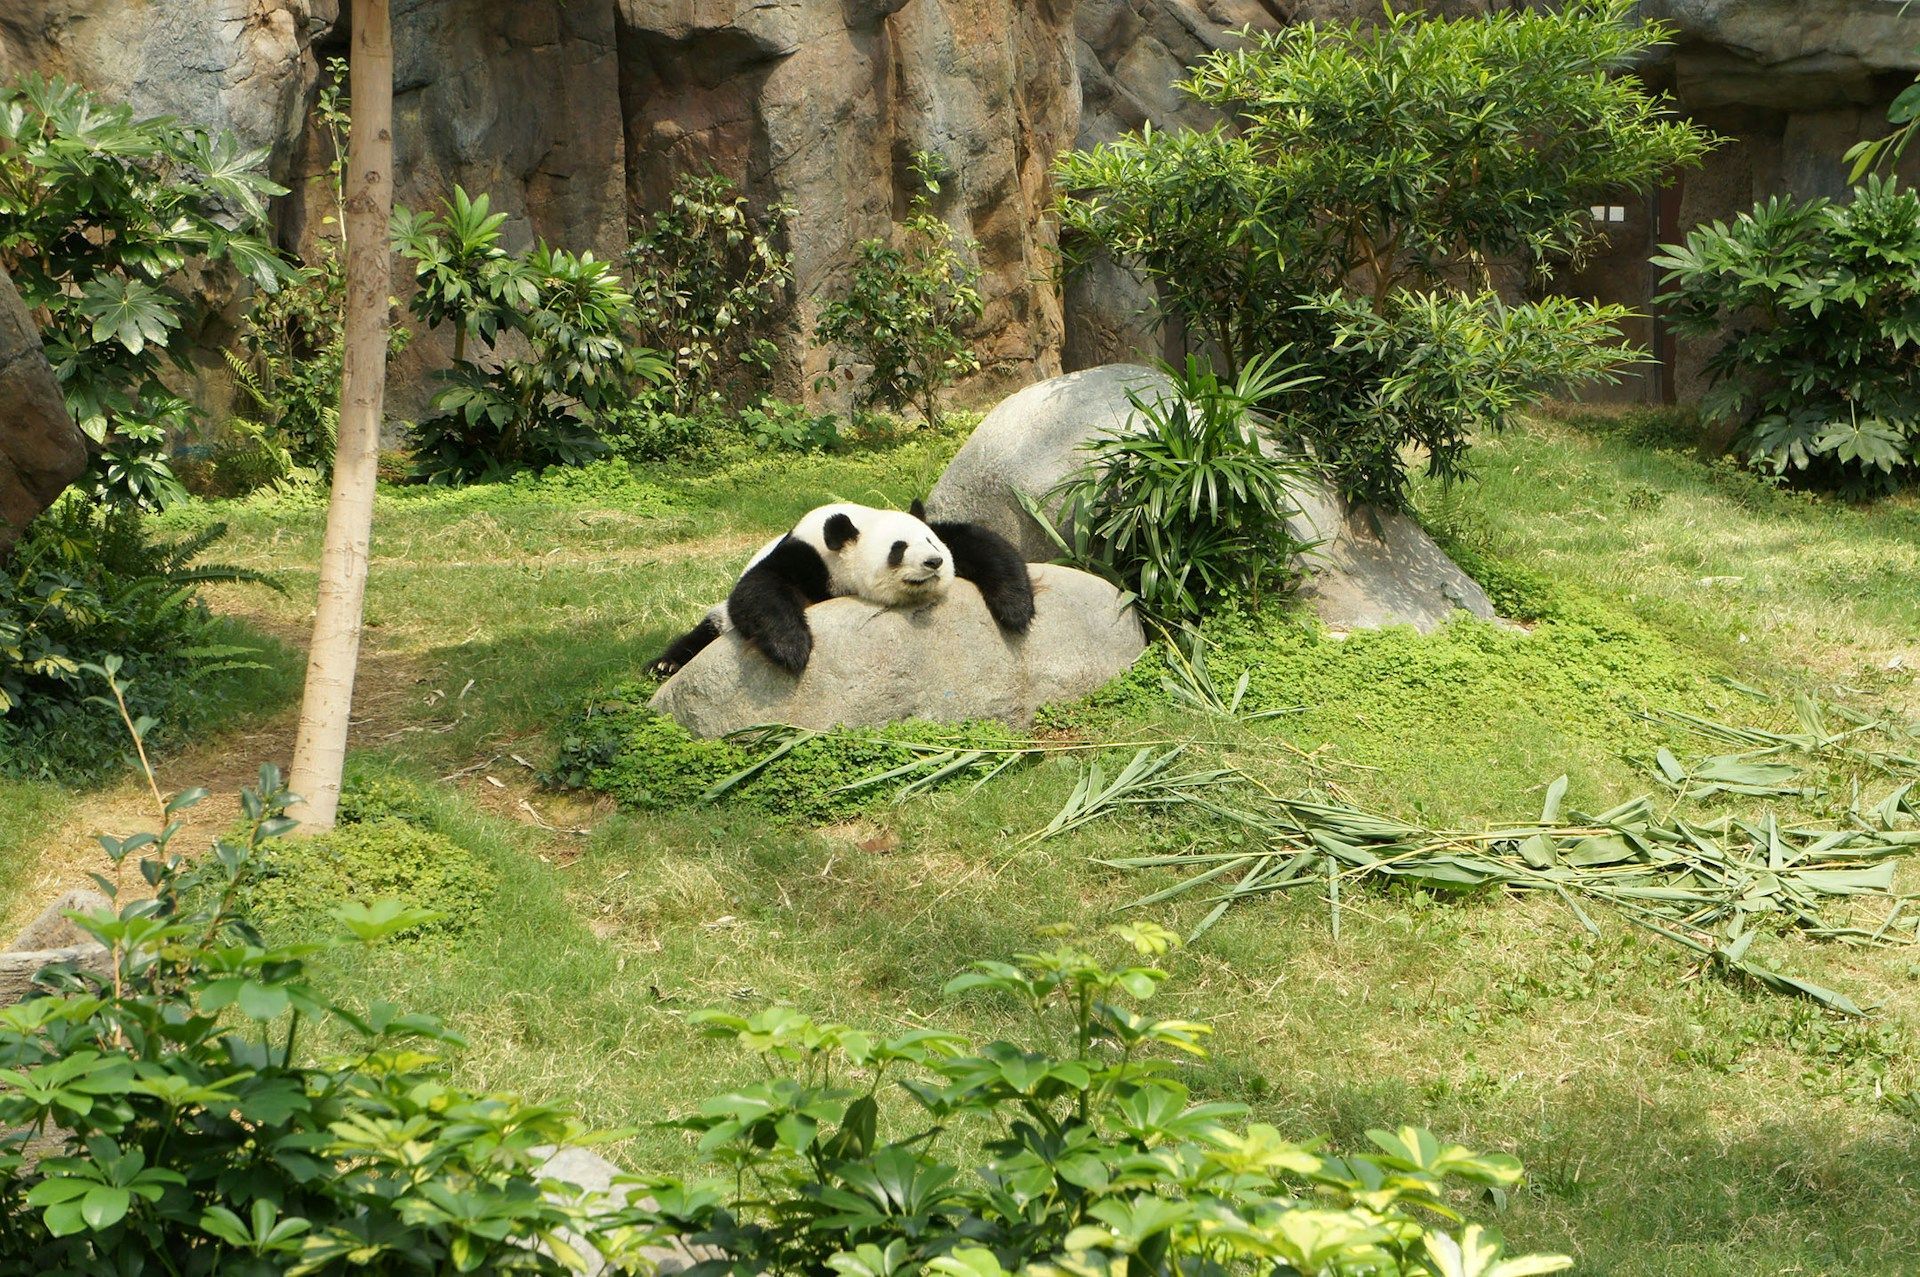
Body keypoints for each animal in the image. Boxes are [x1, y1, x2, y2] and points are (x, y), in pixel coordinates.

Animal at [652, 499, 1036, 675]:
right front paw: (793, 648)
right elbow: (757, 590)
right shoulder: (805, 557)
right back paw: (665, 665)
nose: (934, 562)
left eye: (931, 542)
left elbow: (983, 543)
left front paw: (1016, 610)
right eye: (899, 549)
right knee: (710, 628)